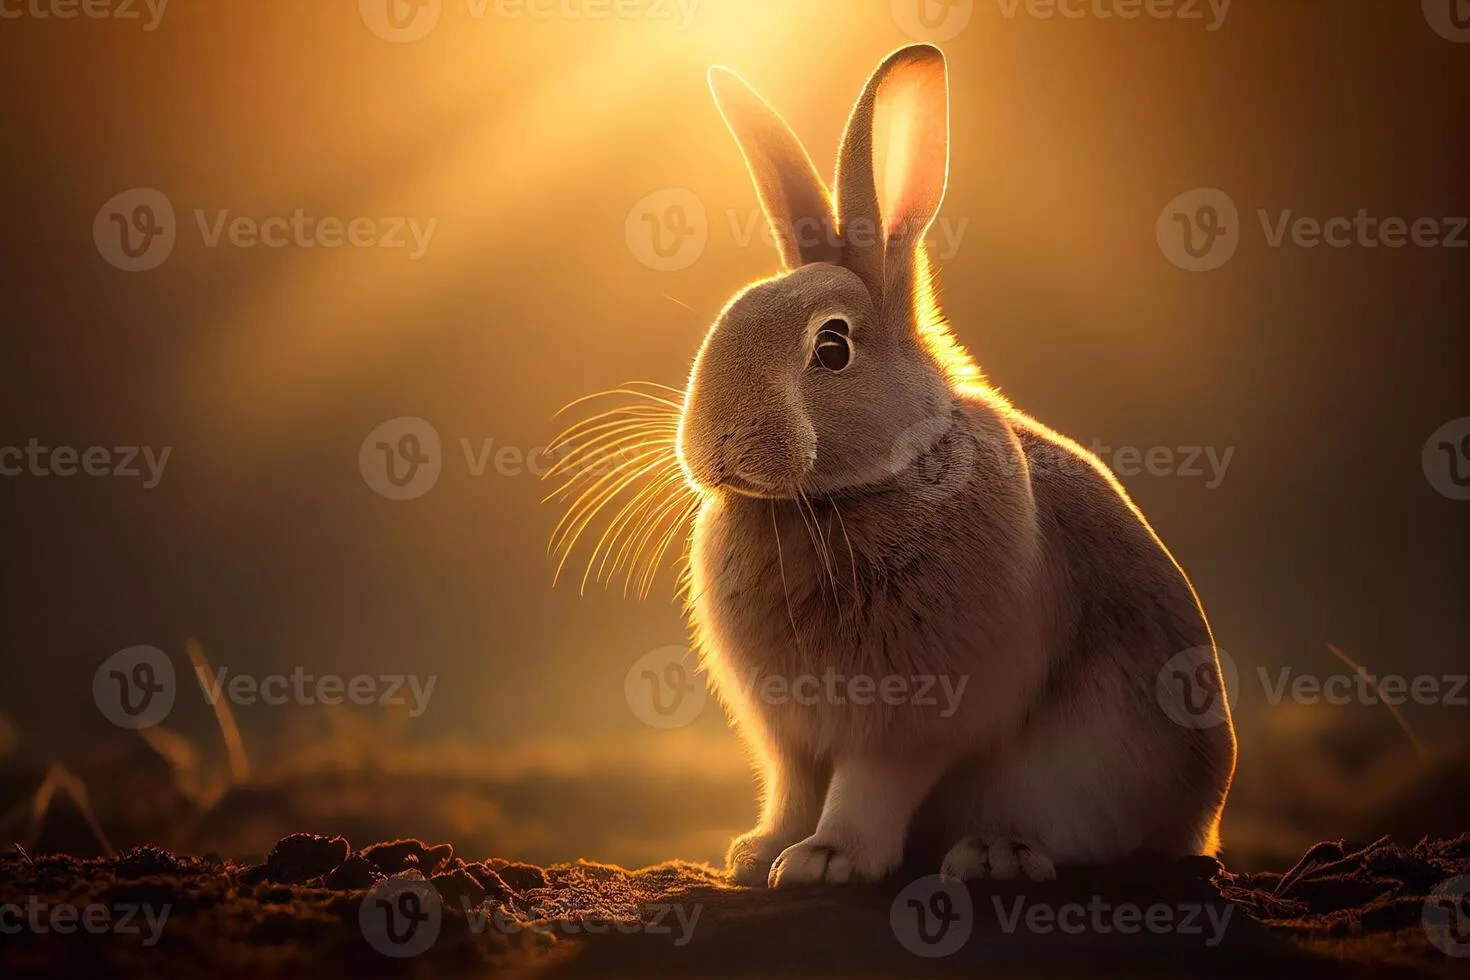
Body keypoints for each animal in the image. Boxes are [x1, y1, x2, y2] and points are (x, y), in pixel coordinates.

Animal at [662, 43, 1238, 888]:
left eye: (831, 347)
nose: (718, 448)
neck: (843, 495)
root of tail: (1204, 822)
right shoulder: (789, 736)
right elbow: (794, 785)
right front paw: (759, 853)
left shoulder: (909, 720)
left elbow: (869, 787)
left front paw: (825, 860)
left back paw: (995, 854)